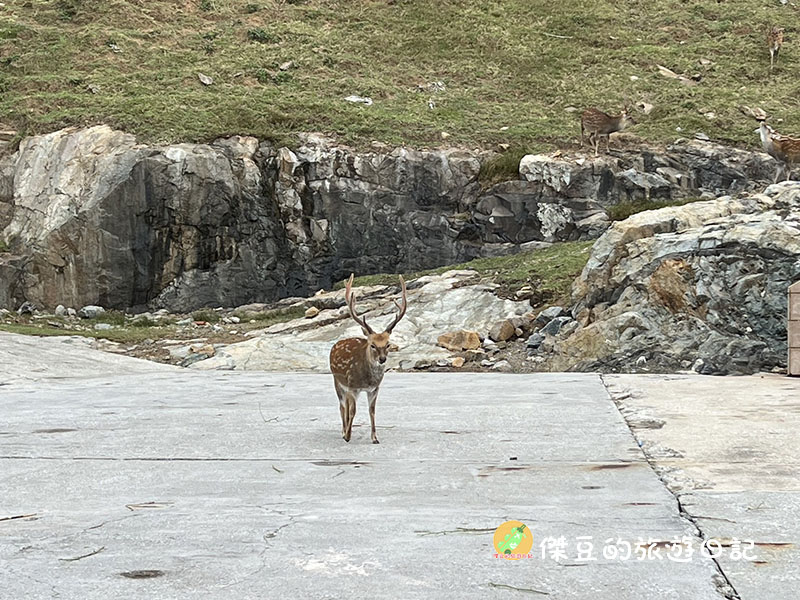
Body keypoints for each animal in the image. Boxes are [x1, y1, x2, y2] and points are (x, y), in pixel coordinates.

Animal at [329, 274, 407, 444]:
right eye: (372, 345)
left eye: (388, 344)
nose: (382, 359)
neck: (367, 379)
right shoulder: (353, 387)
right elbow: (353, 411)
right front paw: (347, 436)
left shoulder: (374, 389)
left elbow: (372, 411)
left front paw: (375, 438)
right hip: (338, 382)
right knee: (342, 406)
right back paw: (343, 431)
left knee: (346, 406)